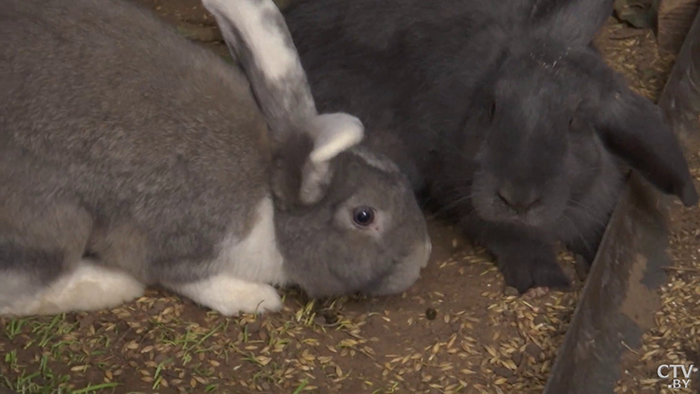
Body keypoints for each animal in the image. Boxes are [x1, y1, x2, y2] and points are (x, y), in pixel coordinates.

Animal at [0, 0, 432, 318]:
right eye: (364, 216)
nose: (423, 258)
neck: (269, 200)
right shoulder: (173, 241)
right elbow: (191, 279)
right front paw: (254, 298)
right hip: (55, 224)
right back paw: (107, 285)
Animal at [282, 0, 696, 292]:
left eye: (574, 121)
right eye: (493, 107)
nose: (517, 198)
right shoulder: (459, 192)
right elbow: (506, 234)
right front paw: (543, 278)